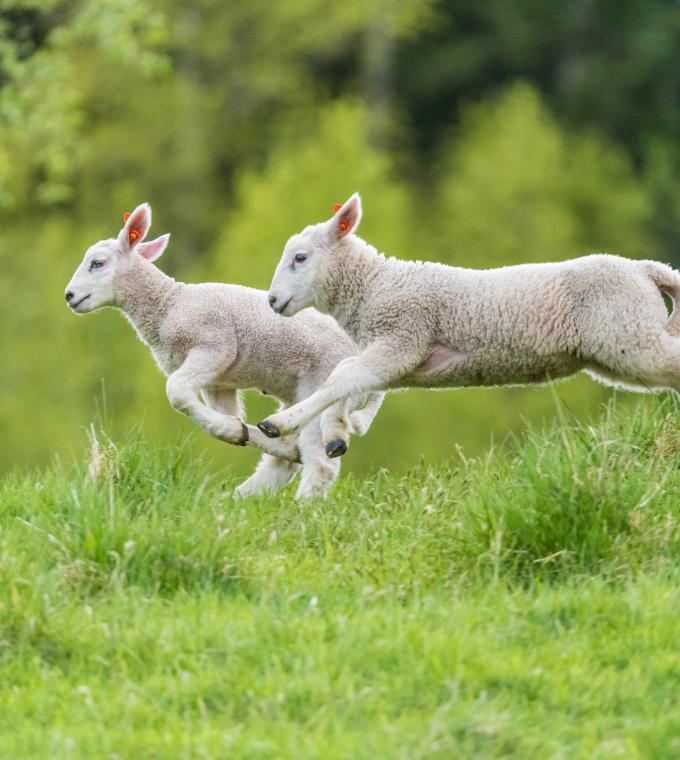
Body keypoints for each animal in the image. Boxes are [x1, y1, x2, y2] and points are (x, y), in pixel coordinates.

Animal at [65, 202, 382, 498]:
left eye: (97, 263)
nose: (69, 296)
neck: (169, 305)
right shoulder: (218, 383)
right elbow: (217, 410)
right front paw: (234, 430)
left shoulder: (214, 345)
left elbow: (176, 392)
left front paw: (233, 430)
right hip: (298, 393)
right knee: (287, 457)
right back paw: (244, 492)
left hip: (322, 383)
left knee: (320, 463)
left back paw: (301, 506)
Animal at [258, 191, 680, 446]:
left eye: (300, 258)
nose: (273, 300)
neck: (374, 285)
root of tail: (645, 269)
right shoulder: (399, 357)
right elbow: (350, 378)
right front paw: (339, 431)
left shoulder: (403, 337)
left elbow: (341, 377)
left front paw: (281, 423)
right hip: (620, 346)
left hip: (628, 333)